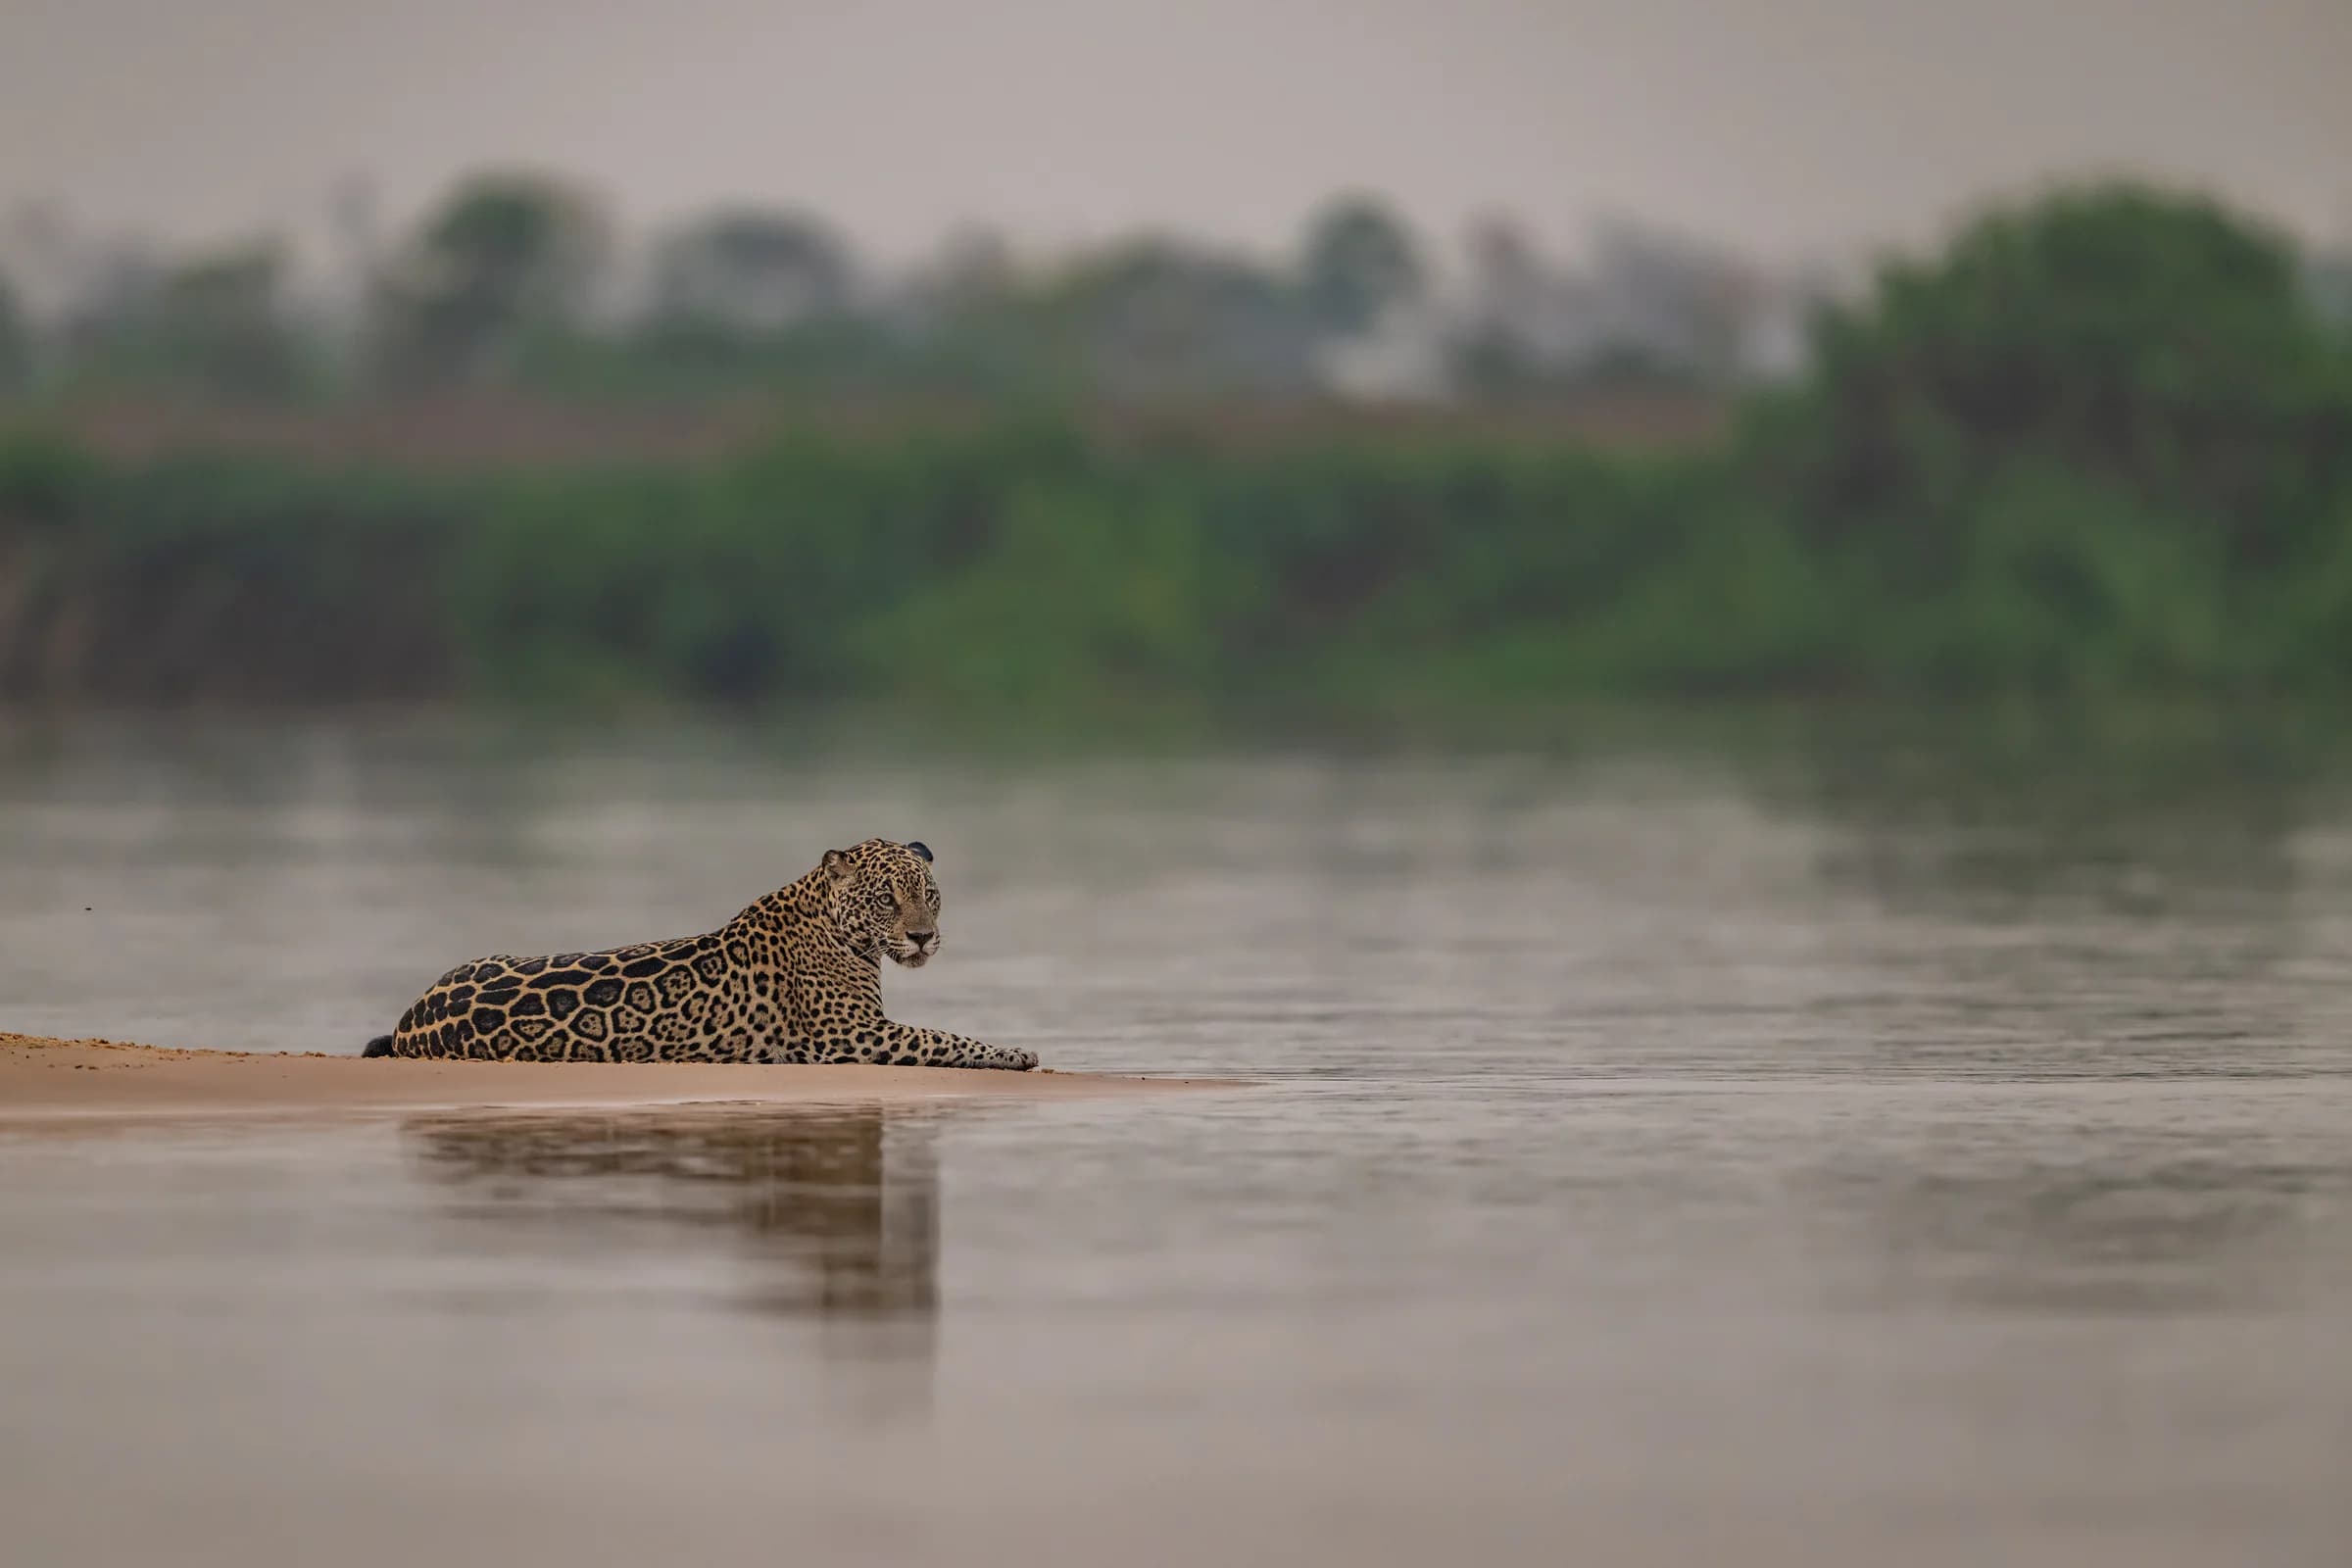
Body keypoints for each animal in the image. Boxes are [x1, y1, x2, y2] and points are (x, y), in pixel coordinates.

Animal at [361, 838, 1037, 1071]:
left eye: (929, 896)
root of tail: (408, 1019)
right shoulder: (852, 1034)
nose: (923, 937)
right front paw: (1016, 1052)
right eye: (886, 899)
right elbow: (940, 1036)